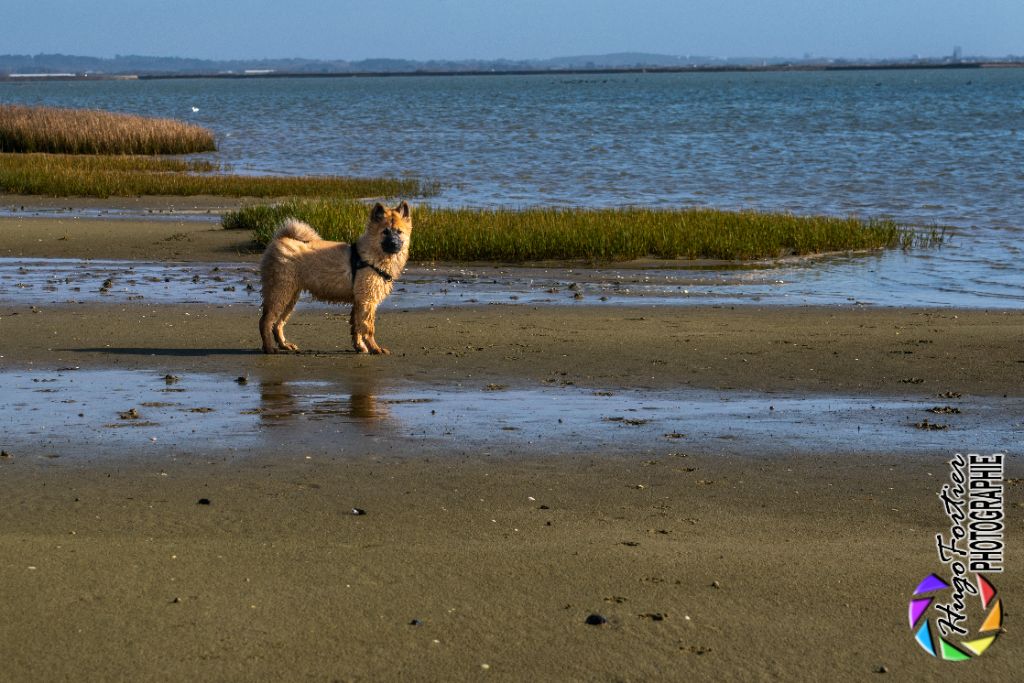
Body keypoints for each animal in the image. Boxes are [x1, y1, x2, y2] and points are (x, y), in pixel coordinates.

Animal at [260, 200, 411, 356]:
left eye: (399, 232)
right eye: (385, 232)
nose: (394, 244)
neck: (373, 254)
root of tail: (280, 239)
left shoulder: (359, 301)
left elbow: (356, 327)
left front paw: (360, 347)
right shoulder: (367, 301)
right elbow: (368, 328)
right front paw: (375, 348)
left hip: (290, 296)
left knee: (278, 323)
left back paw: (284, 345)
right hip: (280, 292)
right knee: (266, 321)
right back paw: (269, 347)